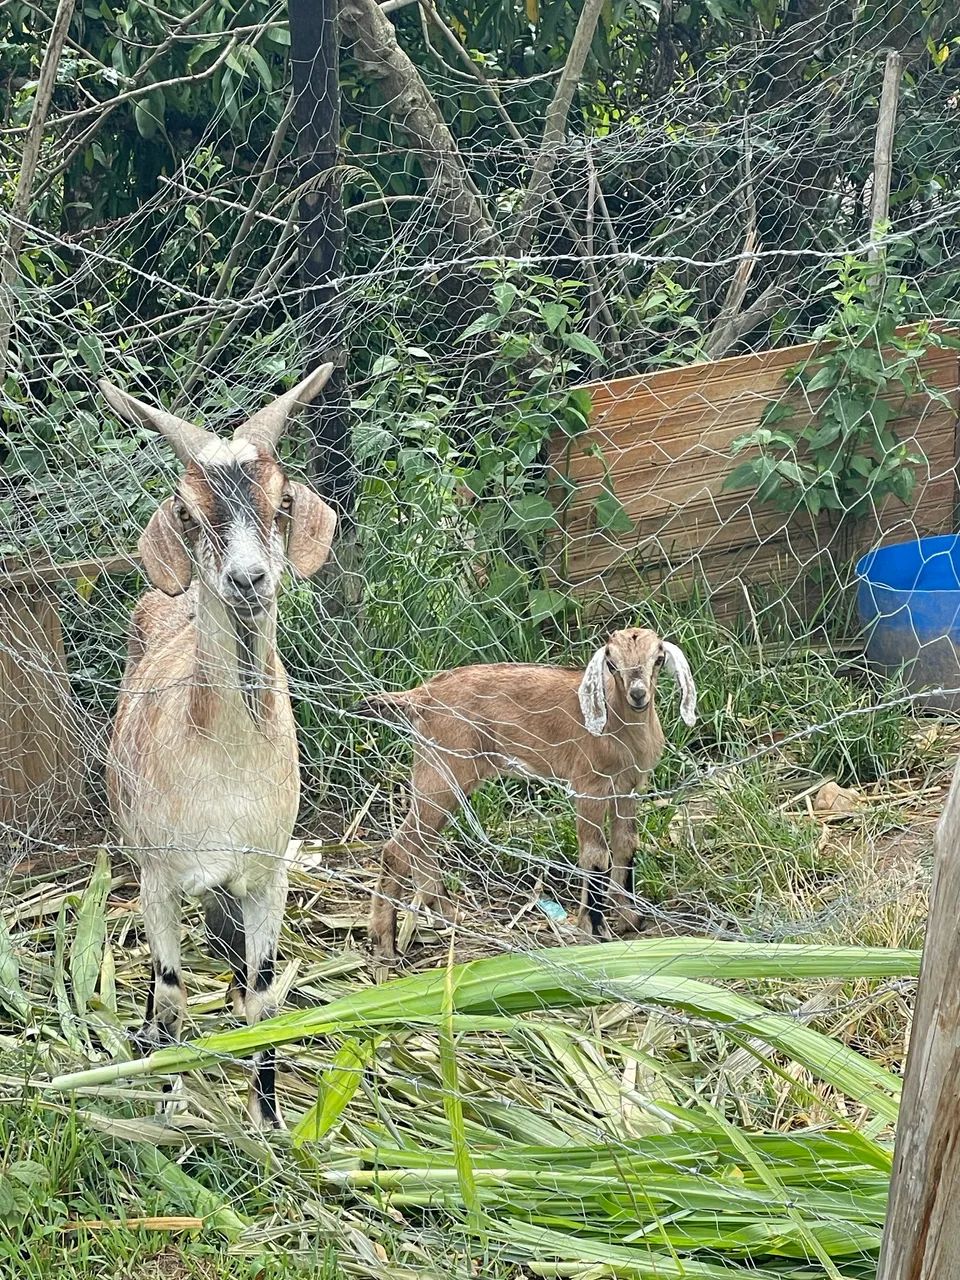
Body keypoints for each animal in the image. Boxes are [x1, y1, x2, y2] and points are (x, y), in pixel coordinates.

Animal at [102, 366, 337, 1128]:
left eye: (282, 499)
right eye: (187, 510)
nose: (247, 579)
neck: (224, 768)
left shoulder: (267, 875)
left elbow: (266, 995)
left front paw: (268, 1119)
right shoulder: (160, 877)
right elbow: (174, 989)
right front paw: (170, 1105)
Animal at [362, 628, 696, 960]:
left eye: (658, 658)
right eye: (611, 663)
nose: (638, 694)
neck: (619, 724)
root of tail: (421, 696)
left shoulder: (627, 789)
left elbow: (626, 845)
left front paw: (630, 918)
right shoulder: (590, 787)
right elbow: (596, 856)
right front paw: (595, 930)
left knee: (422, 842)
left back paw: (447, 913)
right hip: (444, 769)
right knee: (398, 849)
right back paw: (385, 943)